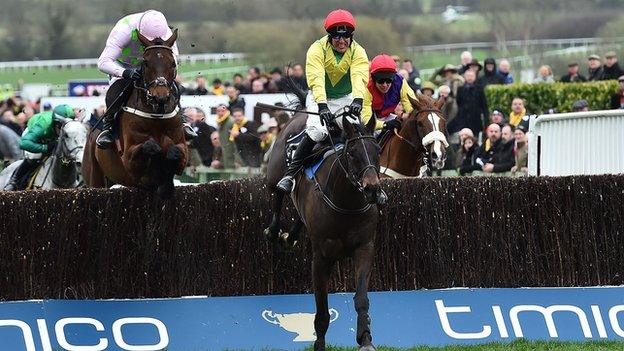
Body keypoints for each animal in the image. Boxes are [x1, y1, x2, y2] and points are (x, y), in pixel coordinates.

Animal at [266, 101, 382, 350]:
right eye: (352, 152)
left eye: (377, 150)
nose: (372, 189)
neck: (347, 204)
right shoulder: (321, 257)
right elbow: (321, 310)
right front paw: (319, 344)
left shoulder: (364, 248)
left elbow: (361, 298)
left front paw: (365, 338)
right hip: (274, 172)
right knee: (278, 194)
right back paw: (273, 230)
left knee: (299, 217)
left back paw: (289, 238)